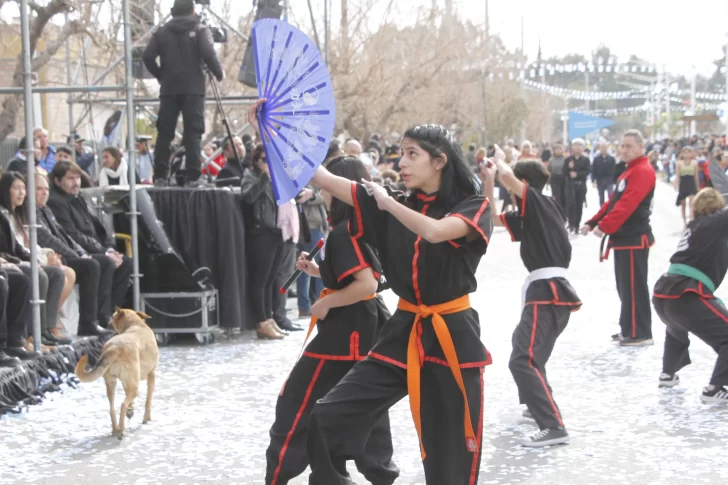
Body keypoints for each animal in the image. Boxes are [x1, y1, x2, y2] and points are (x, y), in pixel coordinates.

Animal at [74, 310, 159, 438]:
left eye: (112, 317)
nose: (107, 324)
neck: (136, 324)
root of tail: (114, 348)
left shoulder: (126, 382)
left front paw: (131, 410)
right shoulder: (151, 375)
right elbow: (148, 401)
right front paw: (147, 419)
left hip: (112, 384)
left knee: (112, 408)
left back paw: (115, 429)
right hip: (134, 387)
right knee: (123, 405)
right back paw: (121, 429)